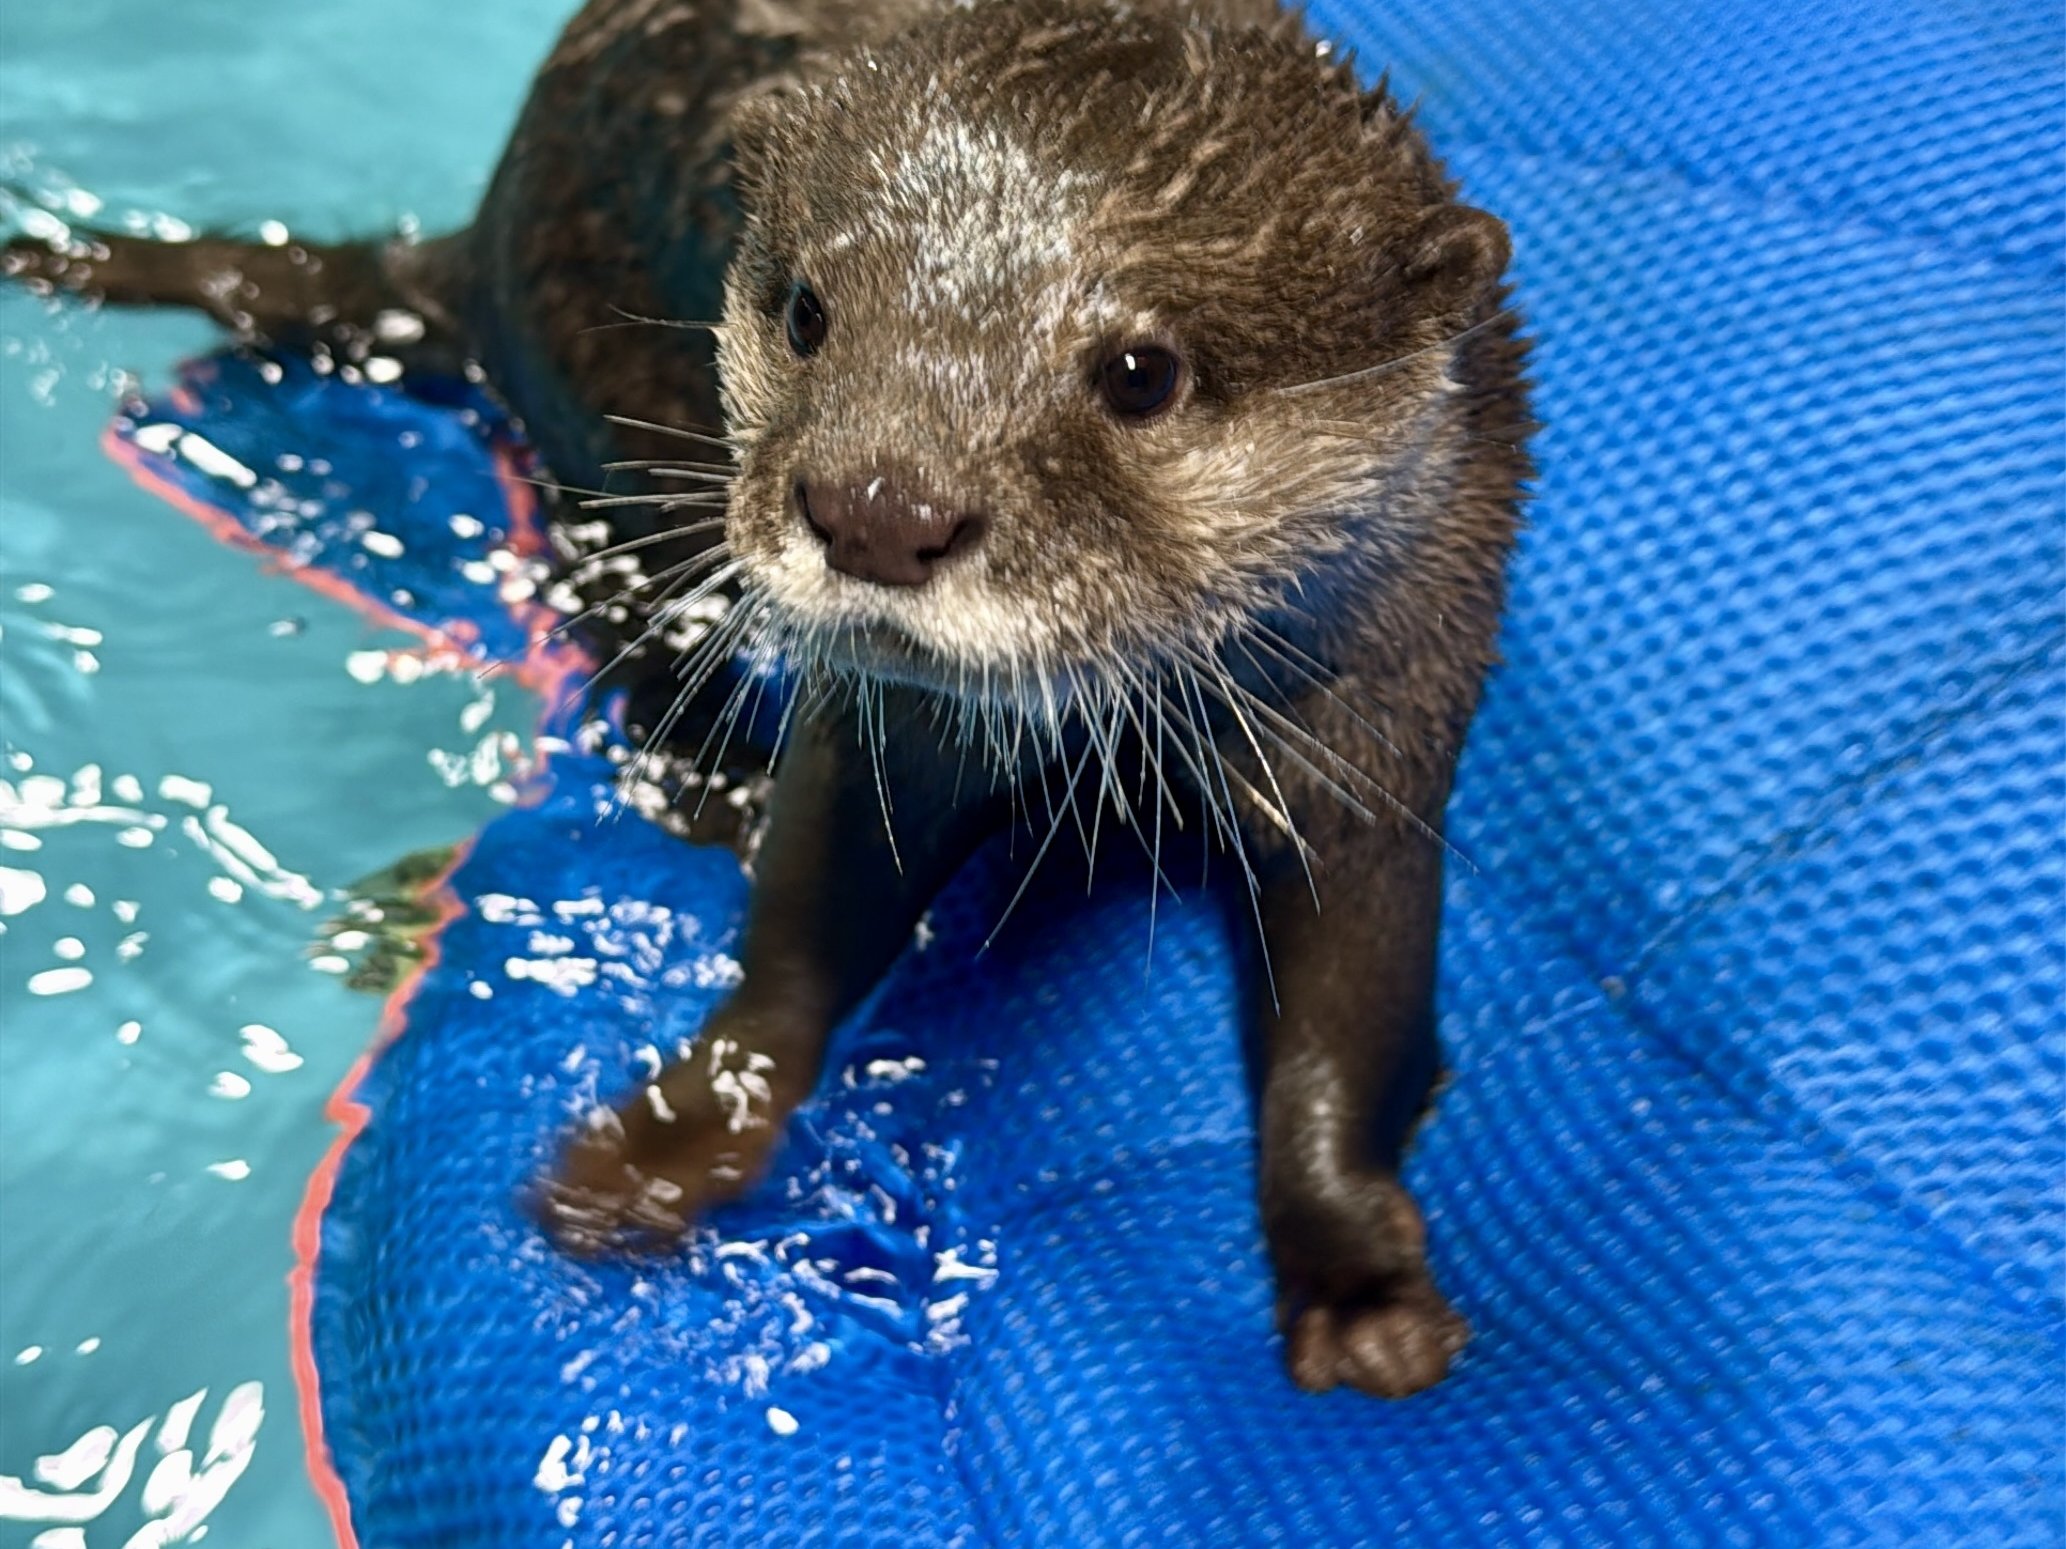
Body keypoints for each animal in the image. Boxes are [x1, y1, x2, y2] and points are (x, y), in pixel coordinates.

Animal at [4, 0, 1532, 1398]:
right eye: (807, 310)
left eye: (1140, 371)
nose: (878, 507)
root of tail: (482, 234)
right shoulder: (881, 735)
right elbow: (804, 924)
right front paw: (676, 1137)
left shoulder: (1387, 709)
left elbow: (1347, 1022)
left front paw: (1359, 1287)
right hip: (600, 422)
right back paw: (710, 776)